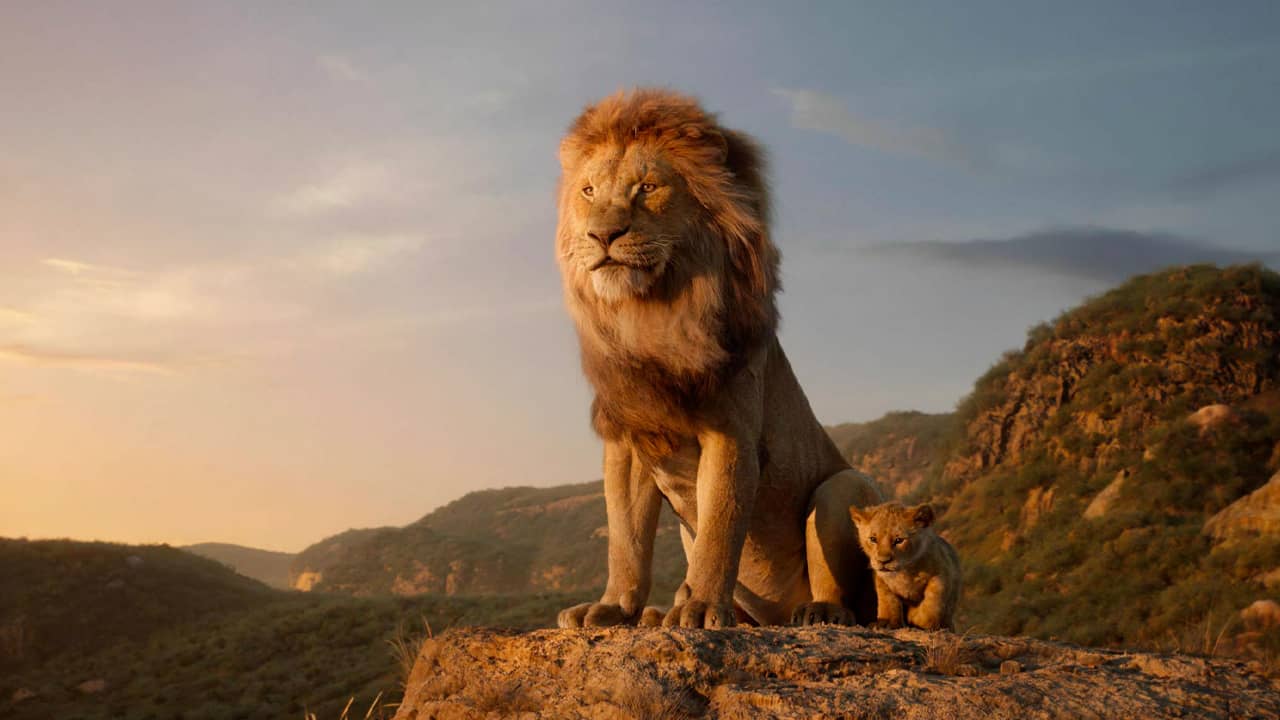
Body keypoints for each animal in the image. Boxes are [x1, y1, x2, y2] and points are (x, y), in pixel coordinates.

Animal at [553, 88, 884, 629]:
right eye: (588, 191)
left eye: (647, 188)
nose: (602, 235)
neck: (651, 315)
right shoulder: (628, 439)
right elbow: (626, 538)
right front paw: (614, 607)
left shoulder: (731, 432)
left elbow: (720, 527)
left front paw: (703, 607)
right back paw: (659, 612)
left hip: (843, 486)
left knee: (846, 594)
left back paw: (817, 612)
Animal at [848, 503, 961, 631]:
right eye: (873, 539)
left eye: (899, 540)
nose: (883, 561)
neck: (904, 571)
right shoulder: (881, 580)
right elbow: (888, 600)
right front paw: (887, 622)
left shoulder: (942, 573)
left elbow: (933, 599)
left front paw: (918, 619)